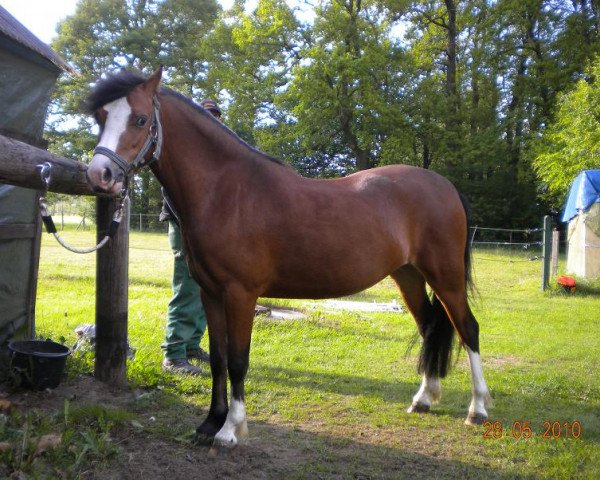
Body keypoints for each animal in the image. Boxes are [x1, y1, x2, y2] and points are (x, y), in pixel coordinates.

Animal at [86, 66, 494, 446]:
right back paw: (423, 399)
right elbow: (218, 359)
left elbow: (238, 360)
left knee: (467, 328)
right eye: (101, 117)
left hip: (446, 277)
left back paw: (477, 409)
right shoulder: (210, 293)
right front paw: (209, 423)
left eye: (140, 119)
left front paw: (231, 429)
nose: (98, 173)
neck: (227, 192)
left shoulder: (240, 294)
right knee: (429, 326)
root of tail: (445, 186)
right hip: (408, 275)